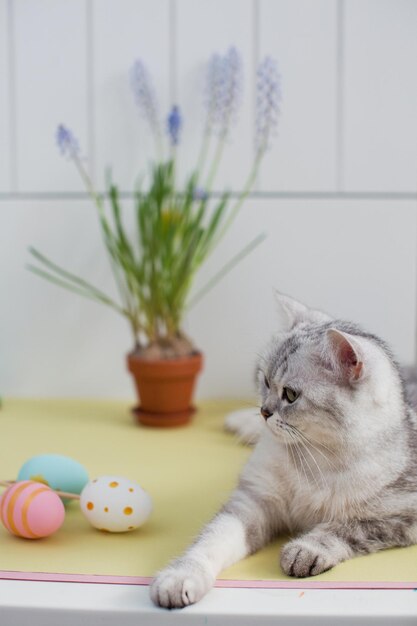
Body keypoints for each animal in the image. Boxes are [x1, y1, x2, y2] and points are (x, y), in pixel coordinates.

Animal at [151, 294, 416, 608]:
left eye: (290, 395)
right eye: (265, 381)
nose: (263, 411)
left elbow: (346, 527)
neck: (314, 459)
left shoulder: (401, 517)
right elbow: (210, 541)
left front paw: (306, 550)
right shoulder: (252, 502)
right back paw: (239, 422)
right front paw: (181, 577)